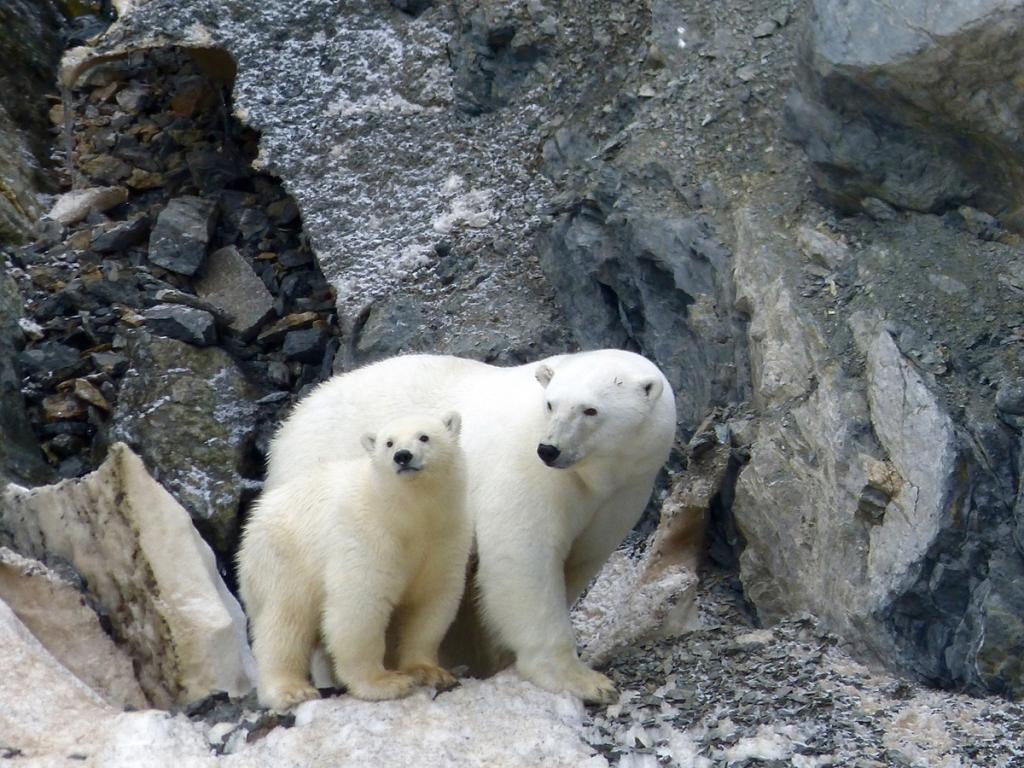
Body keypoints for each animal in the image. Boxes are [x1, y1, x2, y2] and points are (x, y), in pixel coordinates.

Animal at [268, 348, 675, 704]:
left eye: (591, 409)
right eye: (551, 404)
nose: (549, 449)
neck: (594, 475)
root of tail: (289, 425)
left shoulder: (624, 492)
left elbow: (579, 560)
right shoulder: (526, 472)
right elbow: (524, 560)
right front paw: (584, 681)